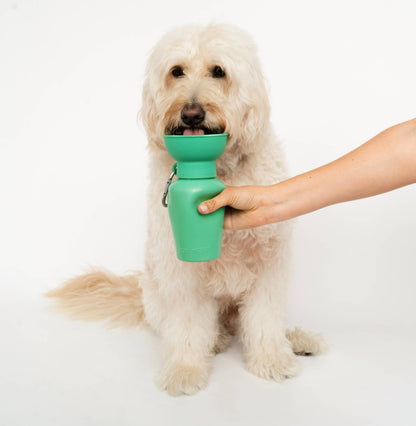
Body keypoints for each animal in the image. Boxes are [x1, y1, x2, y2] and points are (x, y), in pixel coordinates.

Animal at [48, 23, 328, 396]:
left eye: (219, 71)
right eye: (176, 71)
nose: (191, 113)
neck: (217, 167)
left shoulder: (268, 261)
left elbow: (266, 318)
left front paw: (272, 359)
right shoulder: (181, 269)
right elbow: (187, 324)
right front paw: (185, 370)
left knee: (248, 324)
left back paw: (296, 339)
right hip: (158, 296)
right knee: (191, 327)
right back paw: (217, 339)